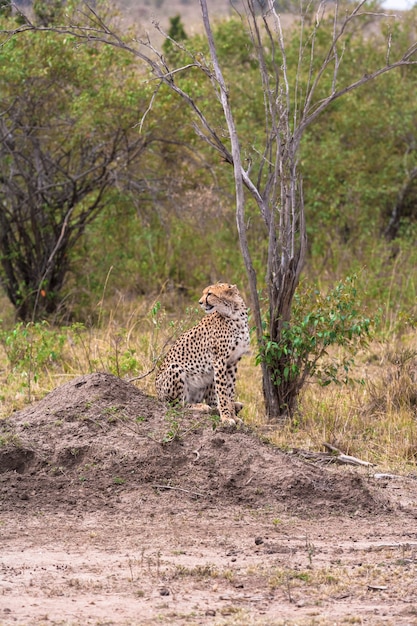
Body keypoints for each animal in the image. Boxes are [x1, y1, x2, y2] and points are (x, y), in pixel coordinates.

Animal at [154, 282, 249, 424]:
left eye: (210, 294)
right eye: (205, 293)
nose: (200, 302)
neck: (234, 314)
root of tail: (156, 394)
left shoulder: (233, 361)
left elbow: (230, 390)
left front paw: (233, 416)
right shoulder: (219, 360)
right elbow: (222, 391)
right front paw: (226, 417)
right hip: (175, 368)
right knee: (177, 404)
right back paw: (201, 407)